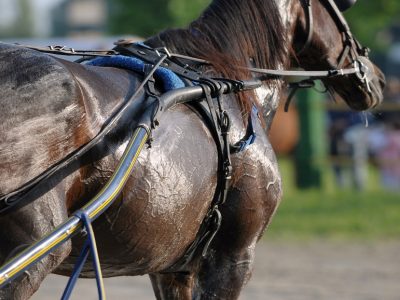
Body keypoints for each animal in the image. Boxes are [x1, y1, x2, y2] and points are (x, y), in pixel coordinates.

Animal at [0, 0, 386, 298]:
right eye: (341, 7)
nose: (377, 77)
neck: (225, 85)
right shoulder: (232, 257)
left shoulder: (172, 268)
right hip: (37, 251)